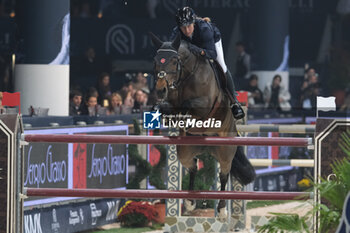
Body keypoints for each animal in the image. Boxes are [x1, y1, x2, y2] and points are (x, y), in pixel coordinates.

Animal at [149, 32, 256, 218]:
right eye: (156, 61)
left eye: (174, 61)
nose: (160, 90)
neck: (185, 75)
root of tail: (207, 147)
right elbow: (166, 108)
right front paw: (165, 114)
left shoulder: (204, 104)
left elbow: (188, 105)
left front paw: (183, 116)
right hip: (185, 151)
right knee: (192, 167)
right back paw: (190, 202)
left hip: (225, 151)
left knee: (223, 174)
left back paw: (221, 209)